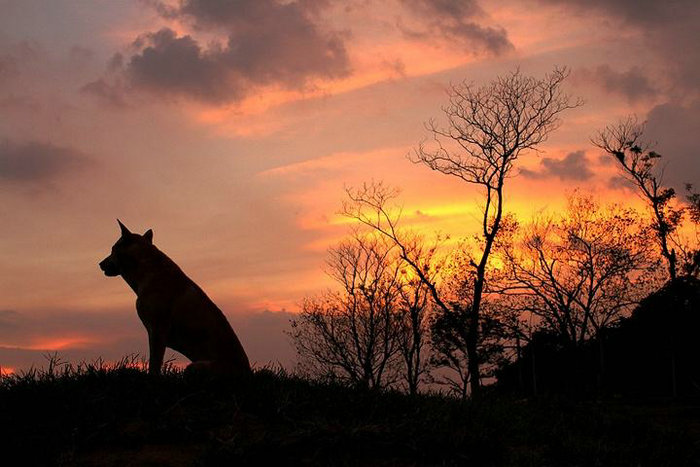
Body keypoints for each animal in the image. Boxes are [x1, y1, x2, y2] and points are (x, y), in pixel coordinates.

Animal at [98, 219, 252, 376]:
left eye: (113, 249)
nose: (100, 264)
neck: (147, 268)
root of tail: (247, 373)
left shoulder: (158, 331)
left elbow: (154, 365)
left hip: (194, 366)